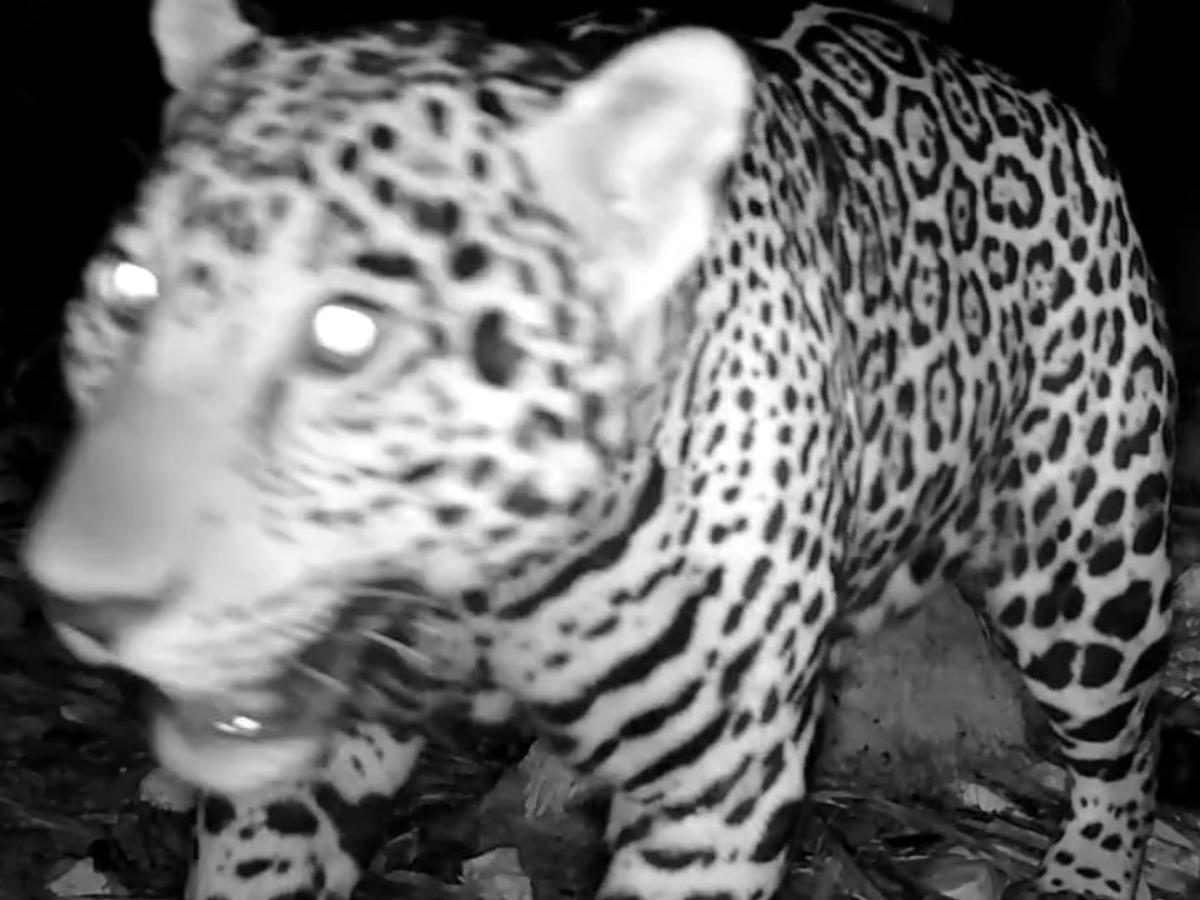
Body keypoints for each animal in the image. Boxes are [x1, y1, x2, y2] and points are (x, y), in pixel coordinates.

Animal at [21, 0, 1177, 898]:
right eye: (129, 289)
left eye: (346, 332)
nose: (81, 601)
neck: (482, 579)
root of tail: (1036, 95)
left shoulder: (713, 786)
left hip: (1090, 562)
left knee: (1128, 737)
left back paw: (1091, 871)